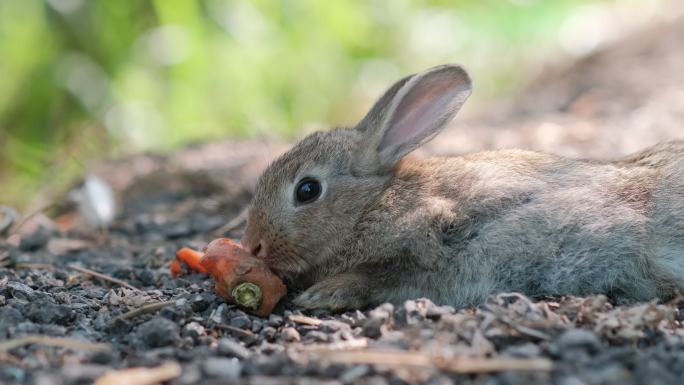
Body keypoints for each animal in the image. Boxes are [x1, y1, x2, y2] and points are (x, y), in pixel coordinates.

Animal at [240, 63, 684, 308]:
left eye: (307, 190)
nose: (252, 246)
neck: (370, 206)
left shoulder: (429, 238)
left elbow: (383, 276)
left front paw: (324, 294)